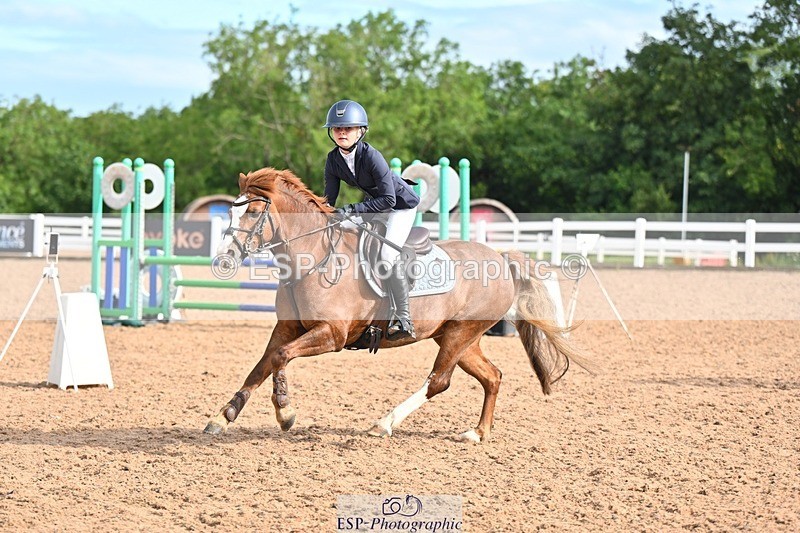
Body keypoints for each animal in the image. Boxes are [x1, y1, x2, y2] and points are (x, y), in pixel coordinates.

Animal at [203, 167, 591, 442]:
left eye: (254, 212)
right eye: (230, 213)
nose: (223, 260)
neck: (312, 260)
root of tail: (500, 257)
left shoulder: (332, 335)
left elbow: (281, 358)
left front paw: (285, 412)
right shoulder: (286, 327)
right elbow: (263, 364)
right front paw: (223, 416)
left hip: (460, 334)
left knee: (439, 381)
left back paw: (384, 423)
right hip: (459, 337)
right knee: (491, 377)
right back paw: (477, 432)